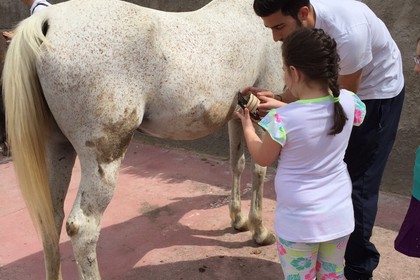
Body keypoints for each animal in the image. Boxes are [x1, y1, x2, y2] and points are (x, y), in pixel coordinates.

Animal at [1, 0, 284, 278]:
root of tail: (47, 21)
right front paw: (259, 231)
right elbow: (259, 169)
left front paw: (238, 220)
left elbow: (237, 164)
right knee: (83, 228)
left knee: (51, 218)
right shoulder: (260, 108)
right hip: (104, 157)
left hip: (57, 148)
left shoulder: (237, 115)